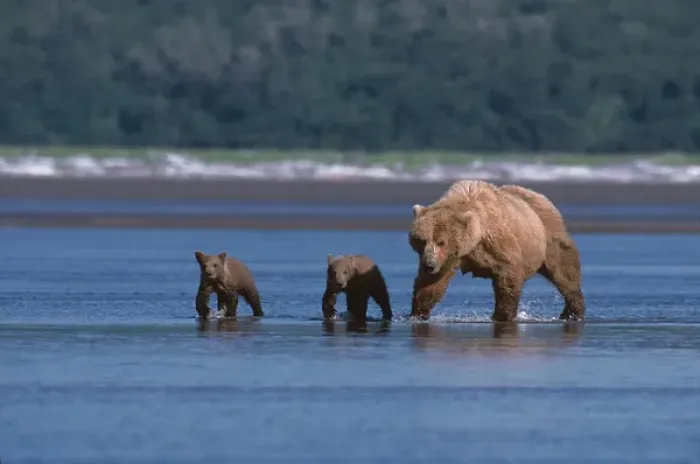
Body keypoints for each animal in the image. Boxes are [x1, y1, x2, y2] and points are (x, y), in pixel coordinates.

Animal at [408, 179, 585, 322]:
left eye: (442, 242)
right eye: (421, 240)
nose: (429, 265)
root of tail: (541, 197)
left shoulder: (496, 242)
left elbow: (508, 274)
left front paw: (502, 315)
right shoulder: (448, 258)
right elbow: (432, 283)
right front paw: (417, 313)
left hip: (548, 237)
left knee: (564, 272)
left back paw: (574, 312)